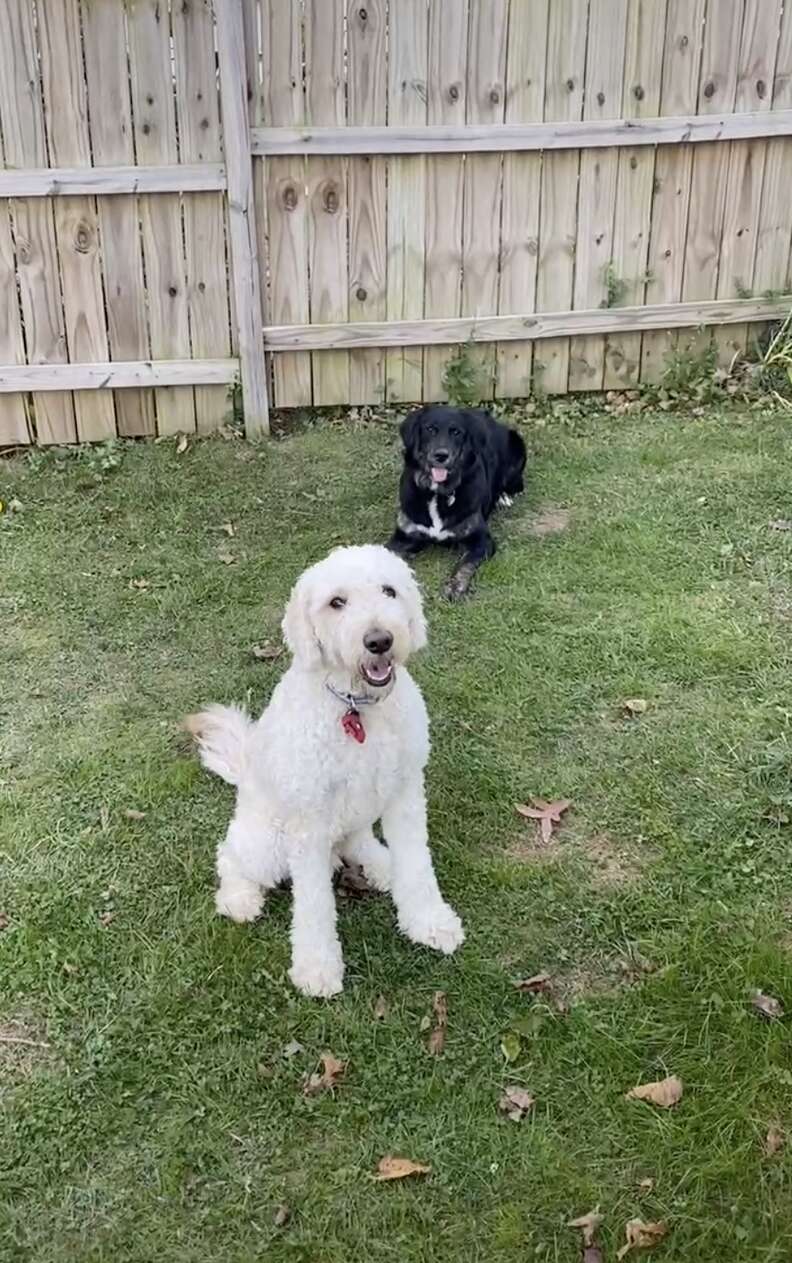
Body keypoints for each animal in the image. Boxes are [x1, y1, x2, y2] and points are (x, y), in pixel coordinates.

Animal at [188, 543, 464, 995]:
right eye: (337, 602)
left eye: (389, 590)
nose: (379, 641)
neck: (357, 706)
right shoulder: (309, 823)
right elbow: (314, 902)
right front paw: (317, 966)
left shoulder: (405, 793)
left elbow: (417, 864)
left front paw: (430, 921)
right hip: (268, 843)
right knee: (230, 855)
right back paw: (239, 898)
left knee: (356, 842)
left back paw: (381, 865)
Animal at [389, 406, 530, 598]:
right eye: (430, 429)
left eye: (456, 432)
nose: (441, 455)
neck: (438, 494)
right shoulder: (404, 536)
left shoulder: (481, 541)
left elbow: (465, 564)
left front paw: (455, 586)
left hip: (517, 449)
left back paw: (503, 497)